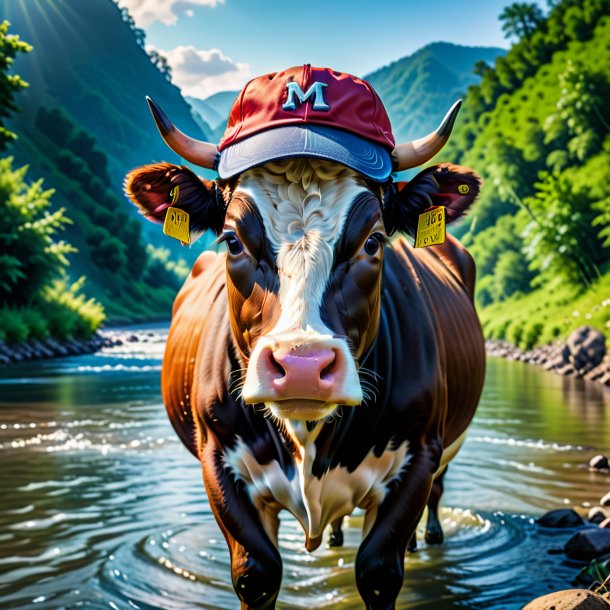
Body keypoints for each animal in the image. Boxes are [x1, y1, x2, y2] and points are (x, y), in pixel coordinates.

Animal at [124, 64, 484, 604]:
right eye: (232, 239)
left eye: (374, 240)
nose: (301, 366)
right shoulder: (217, 459)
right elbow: (257, 572)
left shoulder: (420, 452)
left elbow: (379, 570)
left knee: (437, 496)